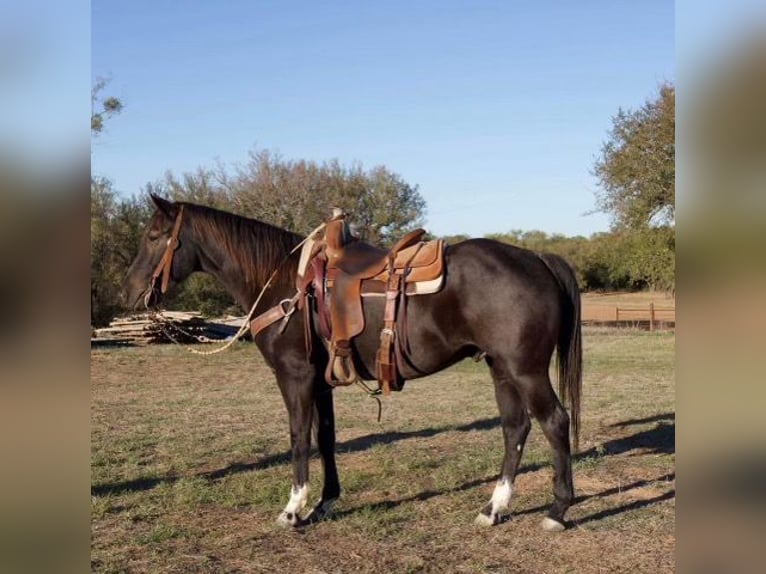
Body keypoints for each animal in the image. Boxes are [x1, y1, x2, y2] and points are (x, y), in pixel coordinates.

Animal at [121, 196, 584, 532]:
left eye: (155, 235)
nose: (130, 291)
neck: (284, 284)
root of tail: (538, 258)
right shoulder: (321, 381)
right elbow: (325, 438)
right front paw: (325, 503)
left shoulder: (294, 376)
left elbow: (298, 438)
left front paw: (293, 509)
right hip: (499, 367)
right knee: (515, 428)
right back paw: (493, 509)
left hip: (525, 369)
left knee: (555, 423)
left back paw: (557, 511)